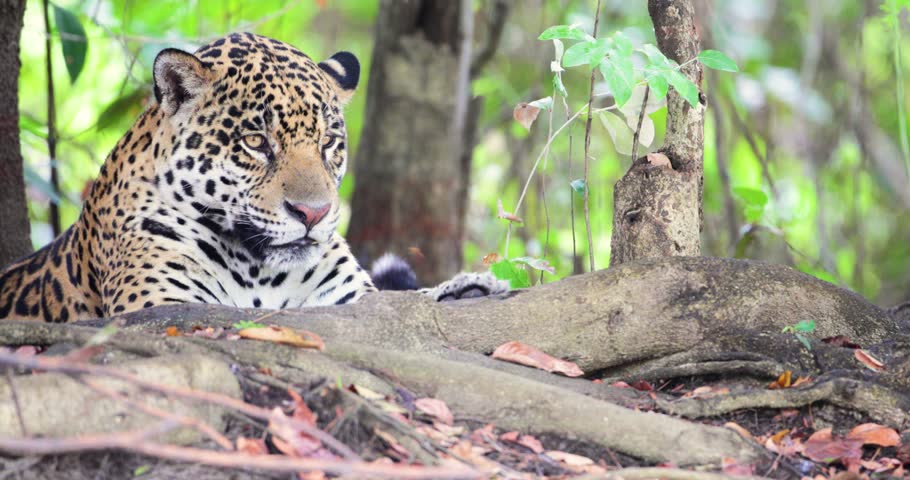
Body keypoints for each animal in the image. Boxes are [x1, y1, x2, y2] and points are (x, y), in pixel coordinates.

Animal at [0, 32, 506, 323]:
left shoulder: (347, 297)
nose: (313, 214)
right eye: (257, 142)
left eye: (329, 143)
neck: (260, 269)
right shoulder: (157, 305)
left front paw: (464, 289)